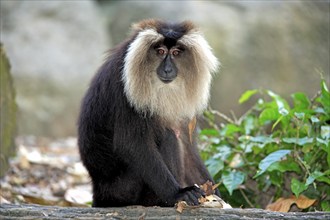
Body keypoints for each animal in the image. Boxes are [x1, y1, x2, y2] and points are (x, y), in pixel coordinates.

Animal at [77, 19, 220, 208]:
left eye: (175, 53)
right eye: (160, 52)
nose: (167, 69)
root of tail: (99, 193)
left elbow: (187, 147)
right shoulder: (124, 83)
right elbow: (131, 144)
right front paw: (178, 194)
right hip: (126, 189)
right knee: (169, 136)